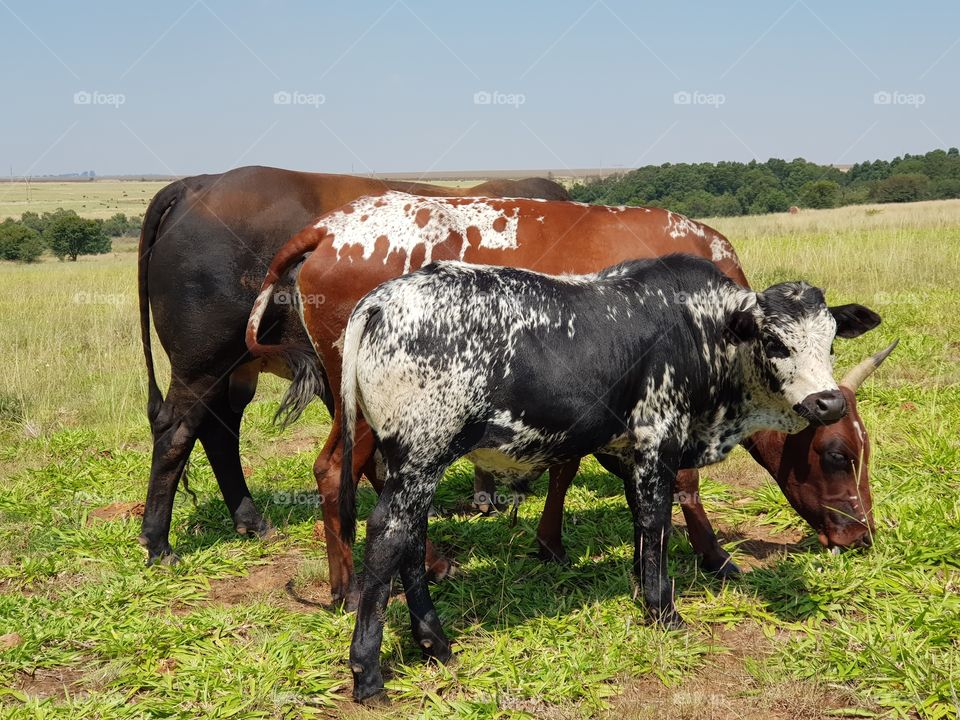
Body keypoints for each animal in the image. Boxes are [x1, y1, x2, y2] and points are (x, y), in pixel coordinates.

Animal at [137, 166, 568, 564]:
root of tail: (198, 183)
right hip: (204, 365)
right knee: (177, 432)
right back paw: (158, 542)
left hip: (237, 370)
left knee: (219, 430)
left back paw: (251, 522)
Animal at [248, 193, 892, 608]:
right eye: (837, 454)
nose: (861, 536)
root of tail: (332, 227)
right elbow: (680, 486)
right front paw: (714, 557)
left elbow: (566, 468)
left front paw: (551, 542)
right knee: (336, 472)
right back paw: (347, 587)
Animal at [336, 252, 876, 696]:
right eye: (775, 341)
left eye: (830, 340)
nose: (826, 402)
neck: (703, 331)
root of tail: (381, 300)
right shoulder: (659, 440)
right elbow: (657, 523)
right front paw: (665, 611)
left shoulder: (628, 451)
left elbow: (642, 521)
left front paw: (645, 593)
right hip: (422, 455)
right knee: (388, 534)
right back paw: (369, 673)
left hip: (414, 464)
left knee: (412, 536)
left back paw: (436, 643)